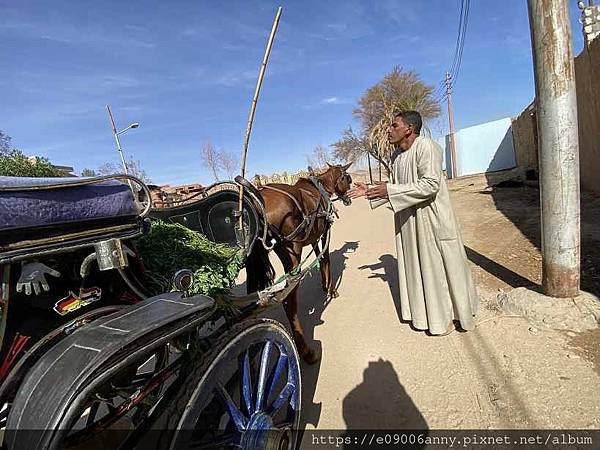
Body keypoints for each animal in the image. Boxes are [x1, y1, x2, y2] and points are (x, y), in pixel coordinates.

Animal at [246, 163, 354, 364]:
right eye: (347, 178)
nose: (349, 198)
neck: (320, 188)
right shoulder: (324, 232)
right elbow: (326, 258)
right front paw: (331, 290)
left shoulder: (313, 237)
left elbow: (320, 258)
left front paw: (324, 284)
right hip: (292, 252)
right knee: (288, 299)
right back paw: (306, 351)